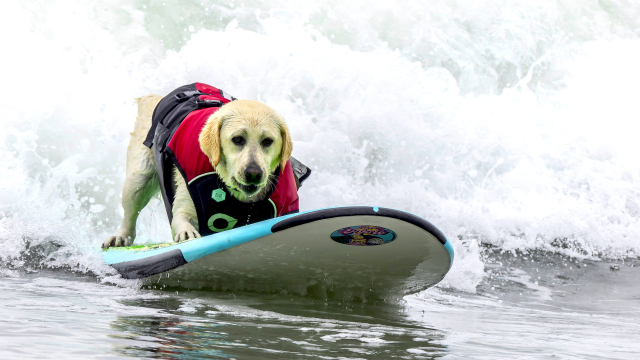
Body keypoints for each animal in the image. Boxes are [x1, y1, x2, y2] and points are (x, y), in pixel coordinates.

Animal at [102, 83, 298, 249]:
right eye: (237, 139)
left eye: (267, 141)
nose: (254, 173)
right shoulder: (186, 198)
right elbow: (181, 217)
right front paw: (187, 233)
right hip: (138, 177)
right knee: (131, 208)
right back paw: (120, 237)